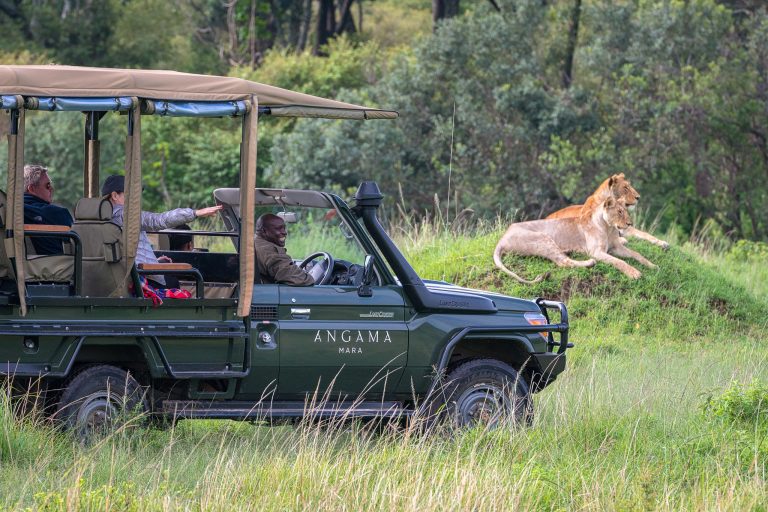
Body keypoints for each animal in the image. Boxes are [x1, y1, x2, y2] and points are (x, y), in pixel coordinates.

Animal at [494, 197, 657, 283]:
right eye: (619, 212)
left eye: (626, 211)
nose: (630, 224)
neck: (608, 228)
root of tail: (502, 238)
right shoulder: (596, 251)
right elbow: (619, 262)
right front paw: (634, 273)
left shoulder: (615, 247)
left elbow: (637, 254)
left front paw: (653, 265)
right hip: (543, 239)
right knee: (563, 262)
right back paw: (589, 263)